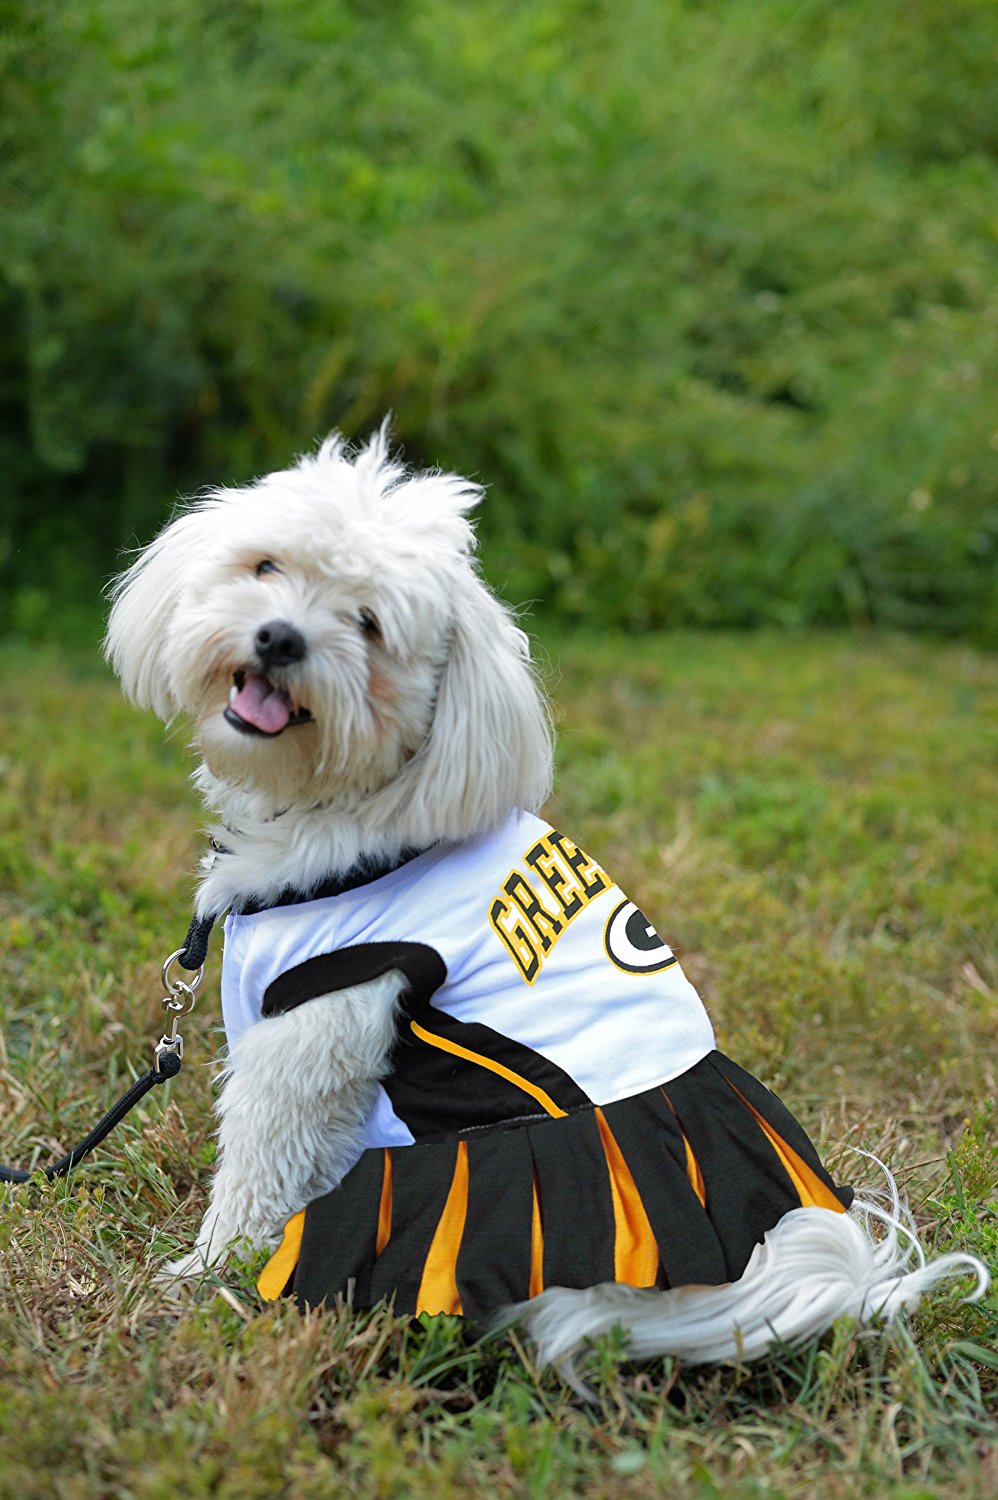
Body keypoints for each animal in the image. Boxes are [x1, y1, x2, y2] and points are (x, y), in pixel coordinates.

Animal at [102, 429, 990, 1368]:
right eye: (266, 566)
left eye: (368, 624)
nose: (278, 638)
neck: (347, 798)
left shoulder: (313, 1031)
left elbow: (258, 1164)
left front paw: (206, 1269)